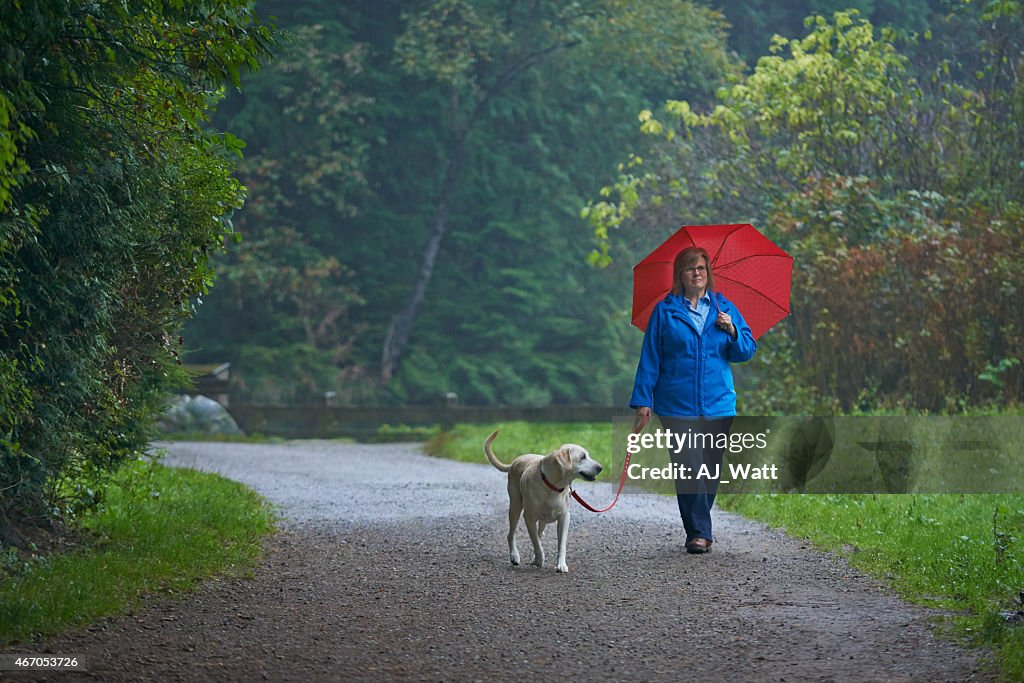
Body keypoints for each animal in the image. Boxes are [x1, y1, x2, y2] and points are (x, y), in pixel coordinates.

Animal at [485, 432, 602, 573]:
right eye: (582, 457)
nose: (601, 467)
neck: (553, 486)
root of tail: (516, 460)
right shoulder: (529, 518)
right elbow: (535, 541)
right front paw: (539, 559)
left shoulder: (564, 518)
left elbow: (561, 544)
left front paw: (561, 564)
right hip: (515, 507)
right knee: (512, 534)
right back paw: (515, 556)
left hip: (543, 519)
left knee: (540, 533)